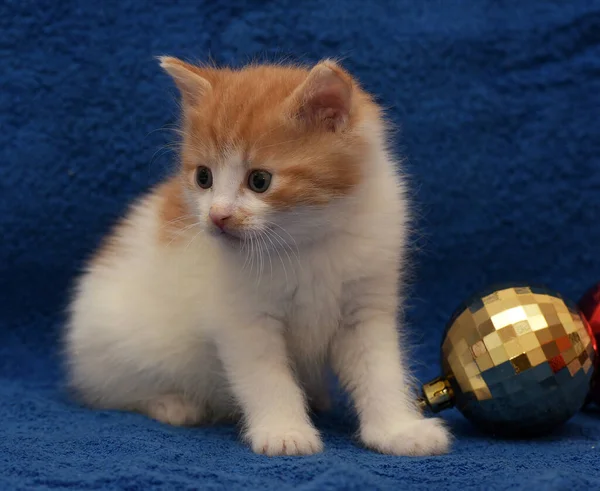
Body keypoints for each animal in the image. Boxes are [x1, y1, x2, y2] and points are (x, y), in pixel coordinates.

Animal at [64, 56, 450, 458]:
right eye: (204, 177)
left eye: (260, 181)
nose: (217, 215)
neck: (306, 243)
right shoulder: (244, 320)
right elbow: (266, 377)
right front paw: (284, 431)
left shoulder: (366, 306)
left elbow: (380, 371)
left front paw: (398, 430)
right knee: (116, 392)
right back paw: (173, 404)